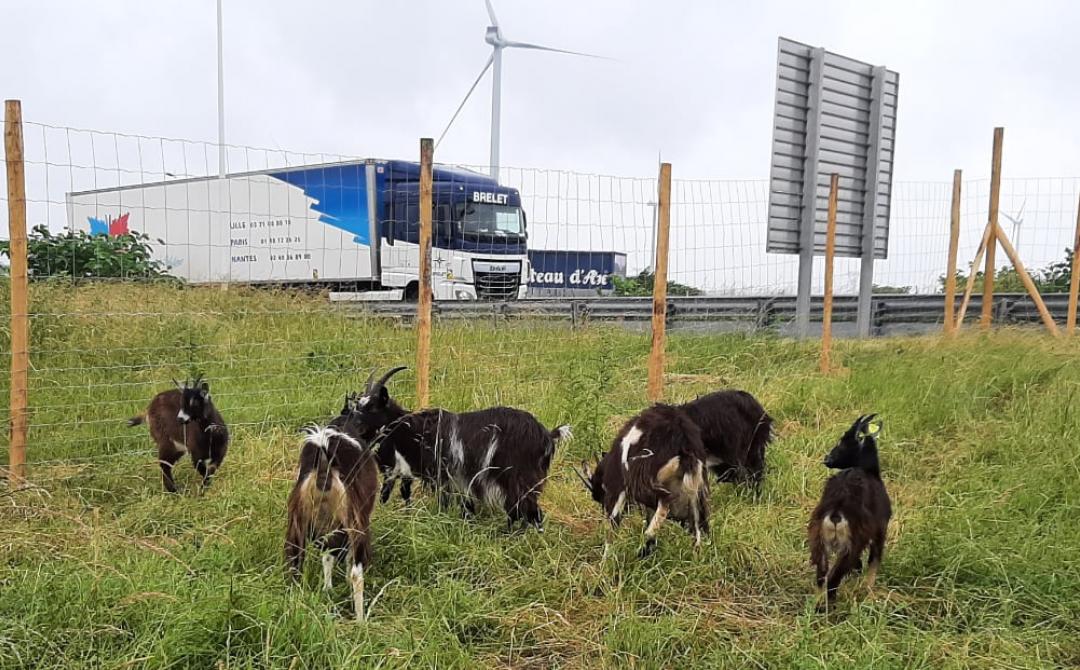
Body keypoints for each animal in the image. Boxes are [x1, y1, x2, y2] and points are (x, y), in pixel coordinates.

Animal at [285, 423, 378, 622]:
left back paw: (297, 603)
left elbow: (327, 556)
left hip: (298, 522)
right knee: (356, 574)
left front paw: (327, 589)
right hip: (355, 521)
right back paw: (361, 620)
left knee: (296, 565)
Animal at [352, 367, 574, 529]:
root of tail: (547, 435)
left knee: (528, 510)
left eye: (372, 407)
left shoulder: (443, 475)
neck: (414, 428)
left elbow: (444, 503)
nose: (354, 428)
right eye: (358, 406)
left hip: (519, 476)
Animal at [578, 402, 712, 553]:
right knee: (699, 525)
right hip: (696, 487)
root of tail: (684, 443)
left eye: (598, 496)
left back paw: (646, 539)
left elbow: (614, 521)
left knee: (666, 501)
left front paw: (607, 555)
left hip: (645, 478)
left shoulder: (618, 488)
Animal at [807, 412, 889, 605]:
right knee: (833, 578)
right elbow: (874, 561)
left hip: (818, 538)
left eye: (843, 442)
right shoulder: (880, 529)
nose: (827, 459)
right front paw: (868, 591)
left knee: (822, 574)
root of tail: (836, 509)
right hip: (851, 544)